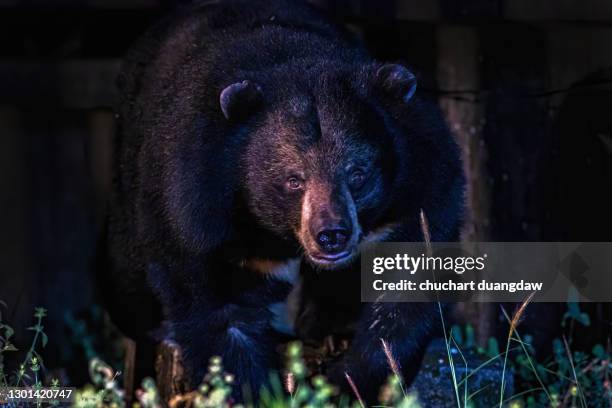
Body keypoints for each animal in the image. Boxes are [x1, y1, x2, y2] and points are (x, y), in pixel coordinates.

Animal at [105, 0, 464, 402]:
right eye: (294, 180)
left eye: (357, 174)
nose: (331, 235)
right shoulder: (195, 208)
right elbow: (220, 314)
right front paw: (259, 391)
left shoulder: (421, 189)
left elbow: (402, 300)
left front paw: (347, 383)